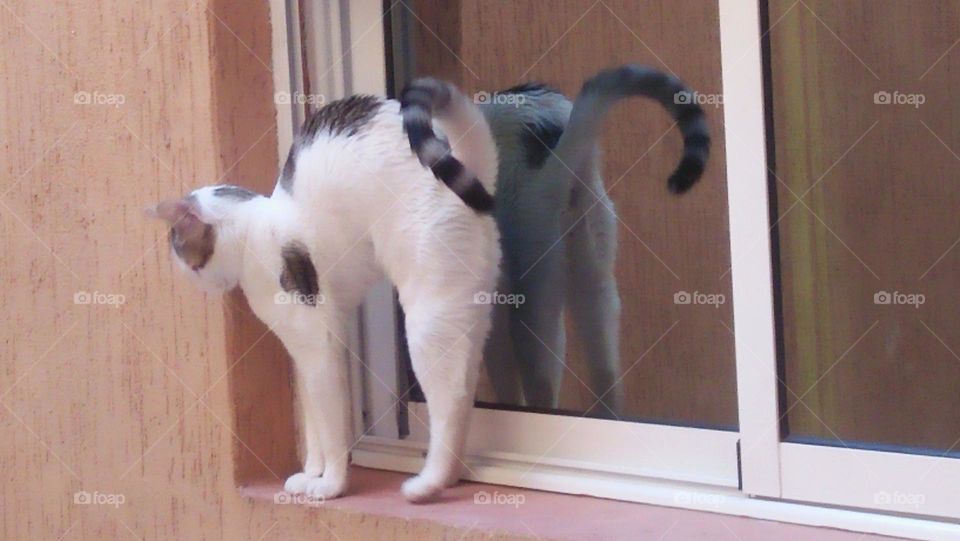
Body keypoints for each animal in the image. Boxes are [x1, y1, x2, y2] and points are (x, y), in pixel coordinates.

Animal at [150, 77, 502, 502]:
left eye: (177, 248)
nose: (186, 276)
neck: (253, 235)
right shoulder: (301, 352)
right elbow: (313, 422)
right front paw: (310, 473)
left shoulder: (320, 345)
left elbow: (332, 426)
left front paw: (331, 484)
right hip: (467, 315)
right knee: (465, 392)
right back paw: (450, 476)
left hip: (426, 322)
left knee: (449, 402)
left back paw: (428, 483)